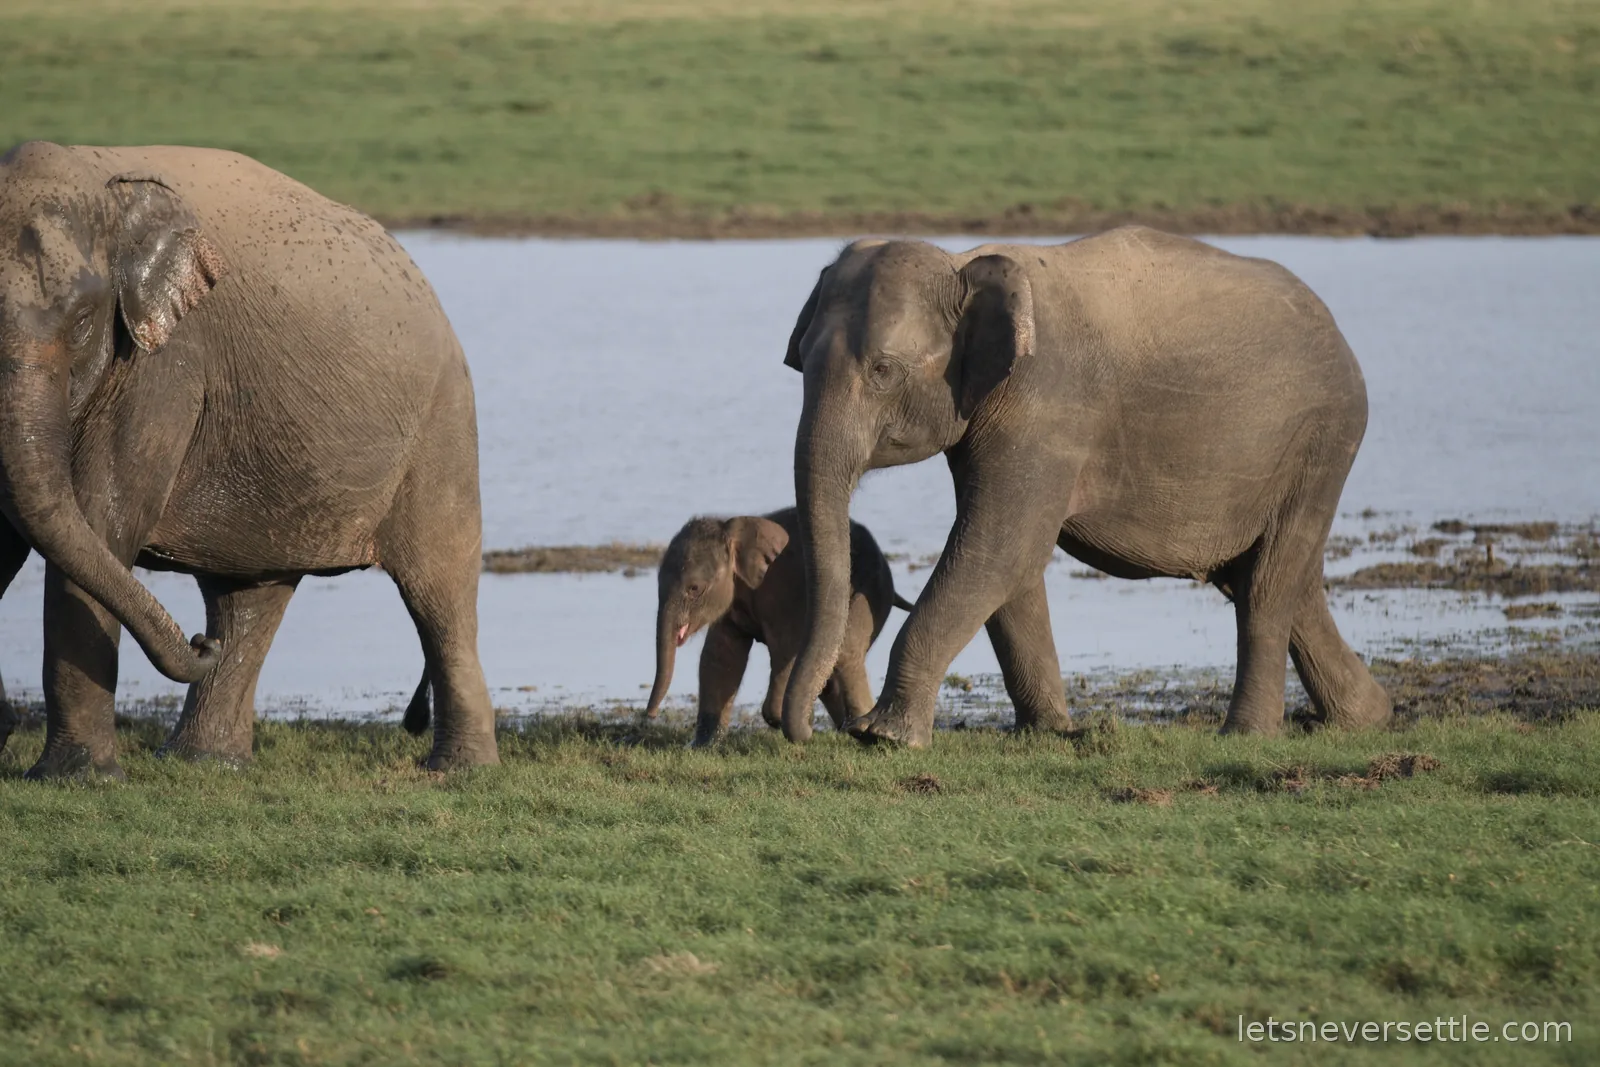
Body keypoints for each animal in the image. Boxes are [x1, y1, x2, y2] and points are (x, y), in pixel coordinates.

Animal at [0, 141, 496, 777]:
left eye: (84, 321)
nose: (195, 643)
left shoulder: (165, 366)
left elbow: (100, 521)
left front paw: (80, 778)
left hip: (442, 423)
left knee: (440, 589)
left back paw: (459, 771)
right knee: (248, 596)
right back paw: (205, 762)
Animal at [643, 507, 912, 746]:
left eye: (694, 588)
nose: (651, 715)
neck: (732, 531)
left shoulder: (781, 590)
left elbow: (785, 649)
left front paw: (785, 720)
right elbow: (719, 656)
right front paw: (701, 746)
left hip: (872, 591)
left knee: (847, 652)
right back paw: (846, 728)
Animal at [779, 227, 1392, 746]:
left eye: (883, 371)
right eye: (800, 362)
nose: (808, 734)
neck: (966, 264)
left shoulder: (1047, 402)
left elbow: (999, 547)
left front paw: (883, 738)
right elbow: (1011, 560)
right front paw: (1049, 733)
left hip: (1324, 437)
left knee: (1267, 585)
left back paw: (1248, 736)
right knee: (1283, 580)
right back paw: (1362, 718)